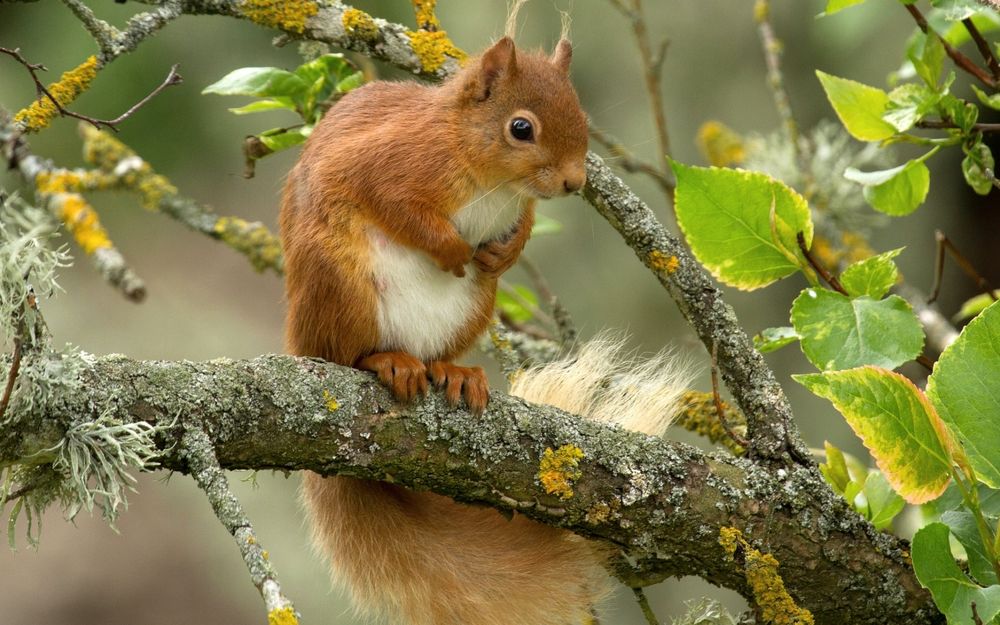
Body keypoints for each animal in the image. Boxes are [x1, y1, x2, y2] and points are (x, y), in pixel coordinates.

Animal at [278, 36, 644, 624]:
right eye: (521, 128)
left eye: (582, 115)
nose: (574, 182)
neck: (494, 180)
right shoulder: (388, 163)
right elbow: (398, 205)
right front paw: (451, 249)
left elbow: (522, 226)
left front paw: (504, 251)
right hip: (339, 284)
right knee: (344, 353)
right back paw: (386, 361)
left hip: (473, 308)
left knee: (437, 353)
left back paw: (453, 372)